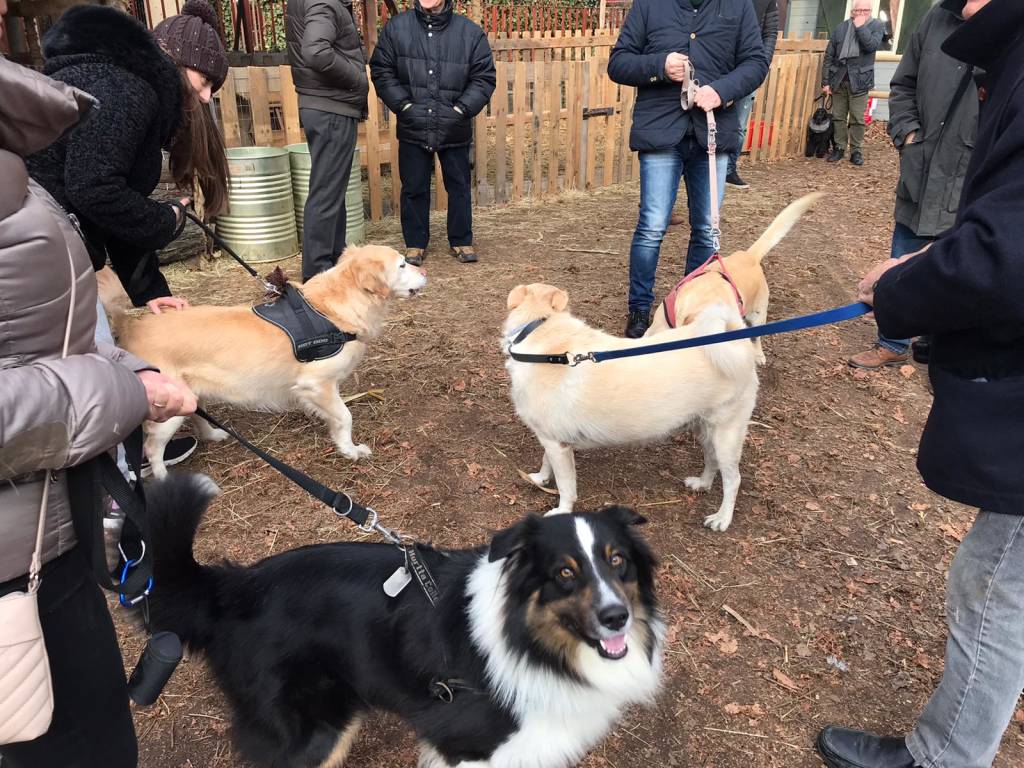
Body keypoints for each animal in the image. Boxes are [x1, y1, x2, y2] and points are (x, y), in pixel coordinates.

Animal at [100, 246, 428, 479]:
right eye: (402, 264)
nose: (424, 269)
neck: (331, 310)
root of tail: (132, 326)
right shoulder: (317, 383)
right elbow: (345, 417)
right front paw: (350, 450)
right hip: (165, 411)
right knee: (153, 449)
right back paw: (164, 478)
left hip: (190, 394)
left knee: (197, 417)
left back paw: (214, 435)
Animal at [144, 475, 663, 768]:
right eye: (564, 574)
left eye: (618, 562)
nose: (616, 618)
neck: (532, 643)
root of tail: (230, 588)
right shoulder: (472, 749)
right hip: (315, 734)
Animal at [505, 286, 761, 532]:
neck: (542, 333)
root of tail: (736, 340)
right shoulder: (551, 439)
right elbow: (546, 462)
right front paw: (540, 479)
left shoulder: (557, 446)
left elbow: (566, 486)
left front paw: (561, 510)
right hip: (705, 429)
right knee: (712, 460)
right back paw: (702, 484)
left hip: (726, 435)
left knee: (733, 480)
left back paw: (722, 519)